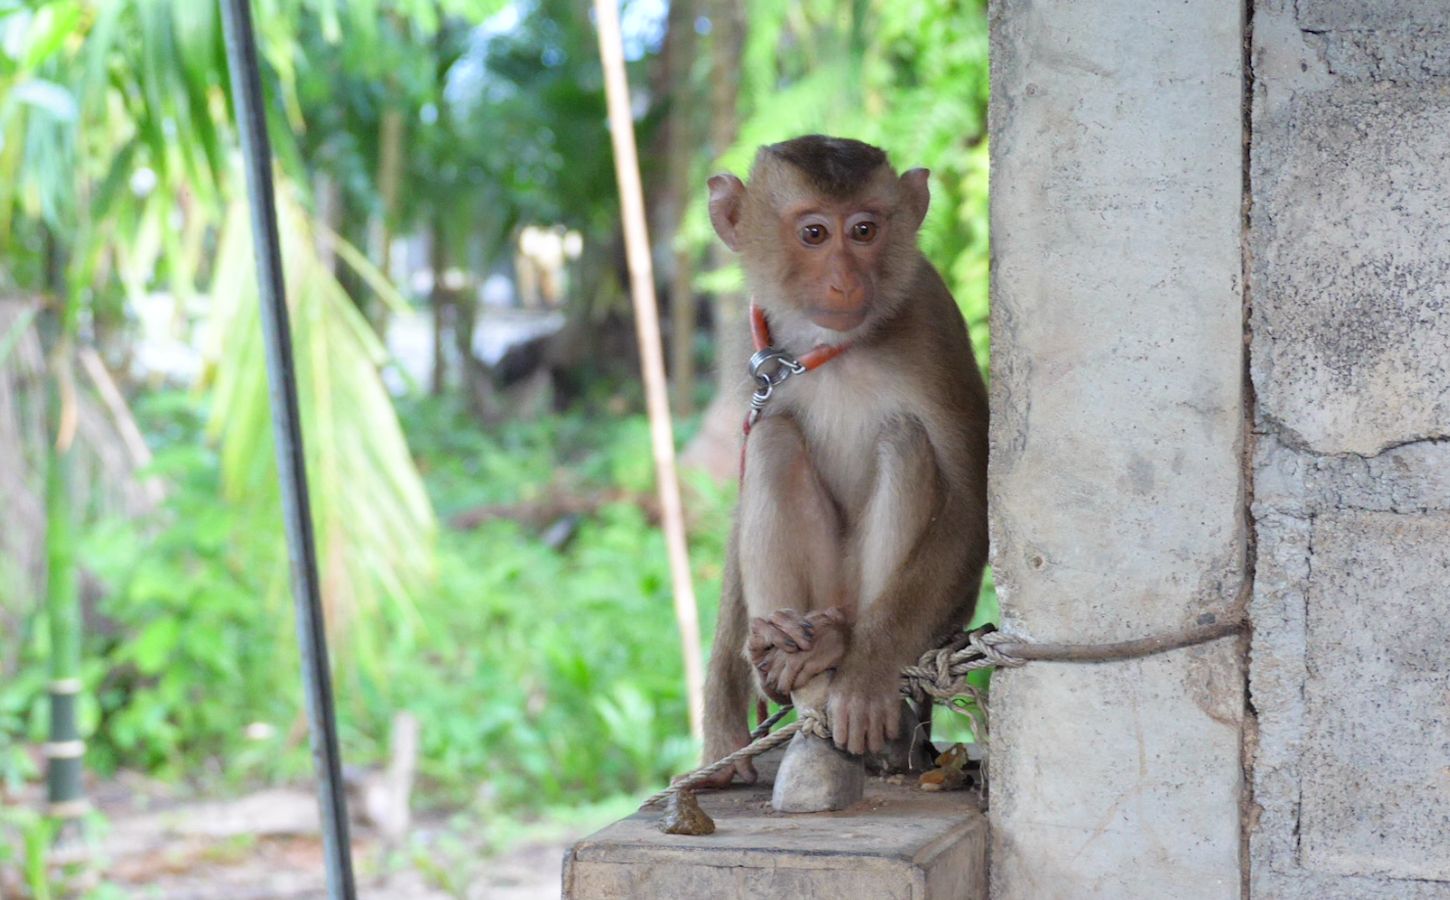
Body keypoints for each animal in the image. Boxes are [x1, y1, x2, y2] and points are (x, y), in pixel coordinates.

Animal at [698, 134, 986, 788]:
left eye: (863, 230)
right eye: (813, 234)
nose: (845, 281)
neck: (829, 348)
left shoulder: (932, 326)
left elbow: (969, 506)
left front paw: (865, 674)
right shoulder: (754, 345)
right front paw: (721, 710)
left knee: (905, 441)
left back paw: (854, 674)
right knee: (774, 439)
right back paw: (781, 659)